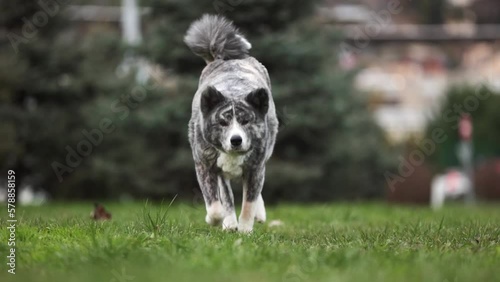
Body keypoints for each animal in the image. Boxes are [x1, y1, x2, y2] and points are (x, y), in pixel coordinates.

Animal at [184, 14, 280, 232]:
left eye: (246, 121)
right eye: (222, 122)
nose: (236, 140)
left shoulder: (255, 167)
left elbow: (249, 202)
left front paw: (245, 229)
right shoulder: (205, 165)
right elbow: (217, 204)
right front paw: (218, 220)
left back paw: (258, 215)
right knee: (225, 196)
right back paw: (228, 223)